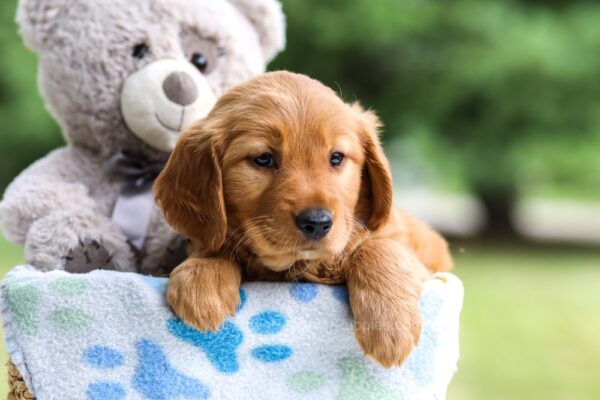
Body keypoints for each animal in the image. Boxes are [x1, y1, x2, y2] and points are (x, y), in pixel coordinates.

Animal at [152, 70, 452, 368]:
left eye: (336, 157)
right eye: (263, 158)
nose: (317, 222)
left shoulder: (417, 262)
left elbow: (378, 247)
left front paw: (390, 325)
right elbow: (217, 242)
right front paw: (203, 277)